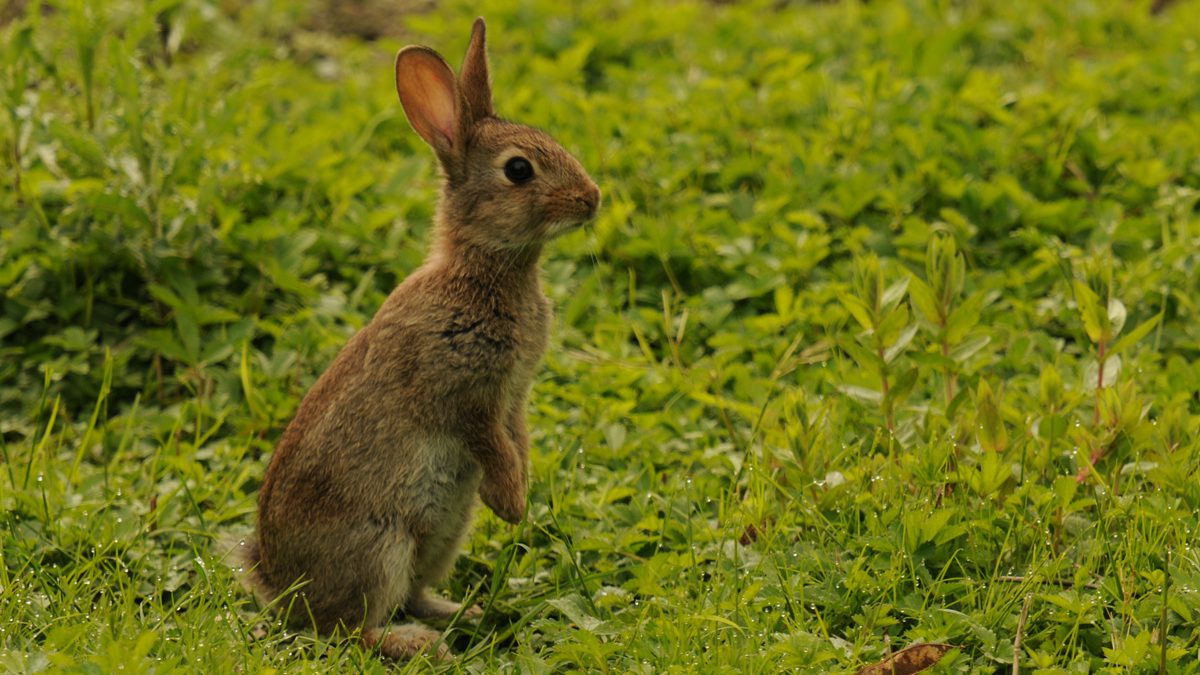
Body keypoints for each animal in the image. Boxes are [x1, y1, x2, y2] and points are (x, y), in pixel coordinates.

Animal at [232, 17, 600, 660]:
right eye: (519, 170)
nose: (593, 198)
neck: (485, 268)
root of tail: (279, 586)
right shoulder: (463, 392)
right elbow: (489, 441)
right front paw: (512, 504)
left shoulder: (515, 397)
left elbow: (517, 439)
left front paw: (519, 496)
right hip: (381, 545)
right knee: (350, 627)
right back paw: (421, 644)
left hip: (442, 534)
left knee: (412, 594)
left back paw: (464, 612)